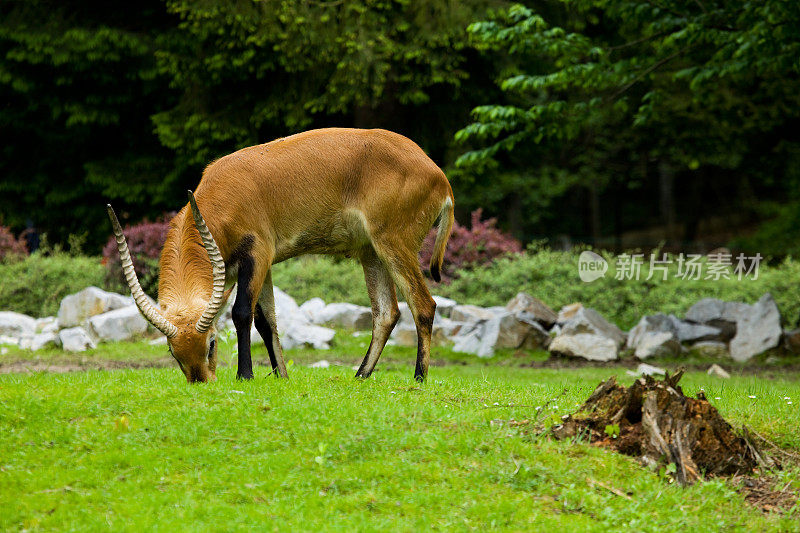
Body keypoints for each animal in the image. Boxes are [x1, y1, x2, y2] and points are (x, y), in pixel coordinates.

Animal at [107, 128, 454, 382]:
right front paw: (281, 376)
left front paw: (245, 375)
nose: (201, 381)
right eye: (172, 351)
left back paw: (419, 377)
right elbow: (266, 320)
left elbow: (242, 313)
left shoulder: (257, 256)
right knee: (386, 313)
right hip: (371, 253)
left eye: (211, 344)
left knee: (423, 304)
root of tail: (437, 174)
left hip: (393, 245)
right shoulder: (256, 267)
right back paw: (360, 376)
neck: (221, 194)